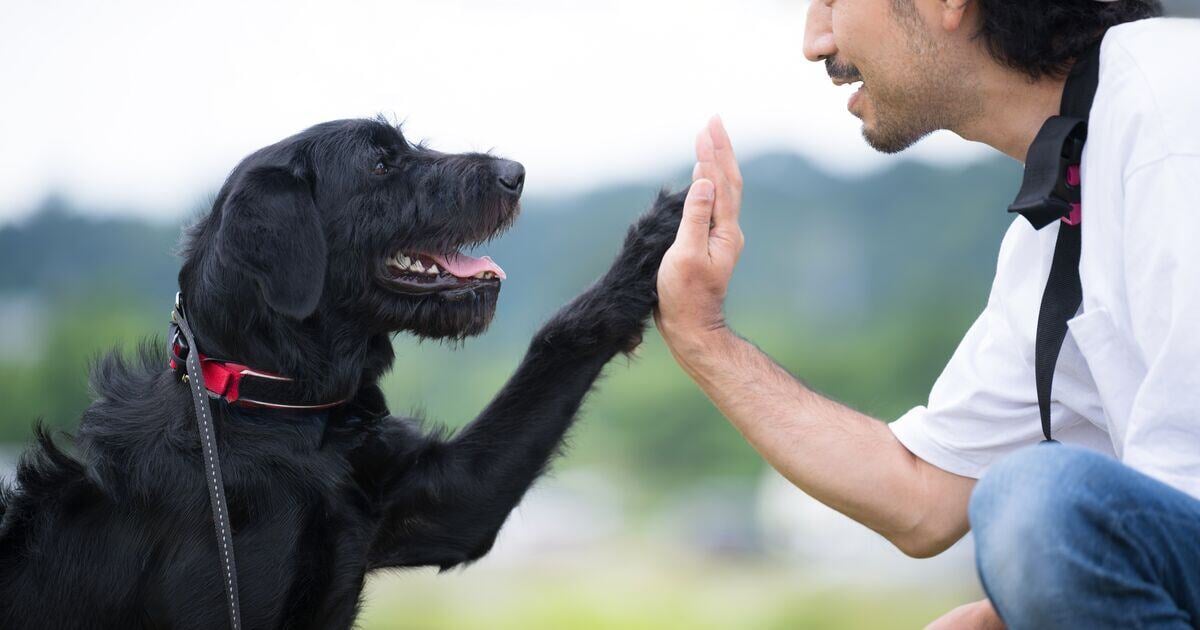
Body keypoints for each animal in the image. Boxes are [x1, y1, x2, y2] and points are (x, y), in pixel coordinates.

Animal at [0, 119, 686, 628]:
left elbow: (559, 340)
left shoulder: (449, 501)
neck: (277, 411)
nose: (514, 174)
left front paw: (660, 237)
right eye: (379, 165)